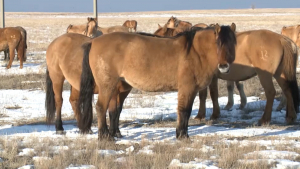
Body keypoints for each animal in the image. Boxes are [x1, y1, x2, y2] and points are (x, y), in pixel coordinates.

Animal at [77, 23, 237, 140]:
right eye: (218, 43)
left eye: (232, 44)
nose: (224, 66)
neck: (196, 51)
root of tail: (93, 41)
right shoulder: (187, 88)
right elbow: (184, 110)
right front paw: (182, 135)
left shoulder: (192, 90)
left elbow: (187, 111)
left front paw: (182, 133)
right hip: (107, 86)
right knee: (101, 107)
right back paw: (105, 136)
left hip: (119, 87)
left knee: (113, 109)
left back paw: (114, 134)